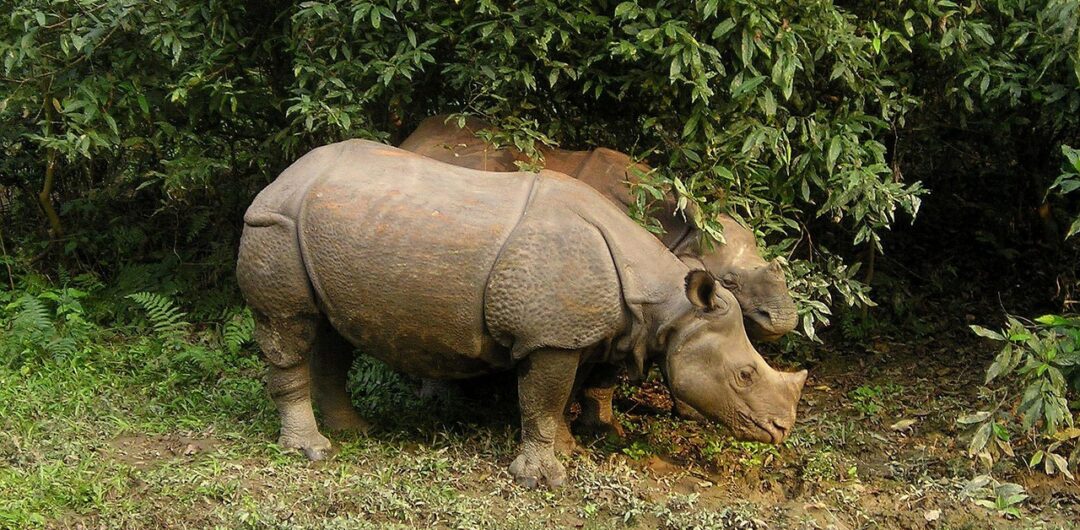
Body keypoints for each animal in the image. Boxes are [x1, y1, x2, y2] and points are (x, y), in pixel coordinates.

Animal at [236, 140, 807, 487]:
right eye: (744, 374)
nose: (782, 430)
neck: (663, 299)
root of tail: (283, 175)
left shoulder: (578, 330)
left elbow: (562, 396)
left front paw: (569, 449)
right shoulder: (550, 336)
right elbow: (542, 399)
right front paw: (544, 478)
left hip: (327, 230)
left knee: (333, 334)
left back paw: (355, 432)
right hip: (276, 223)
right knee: (288, 329)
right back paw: (313, 452)